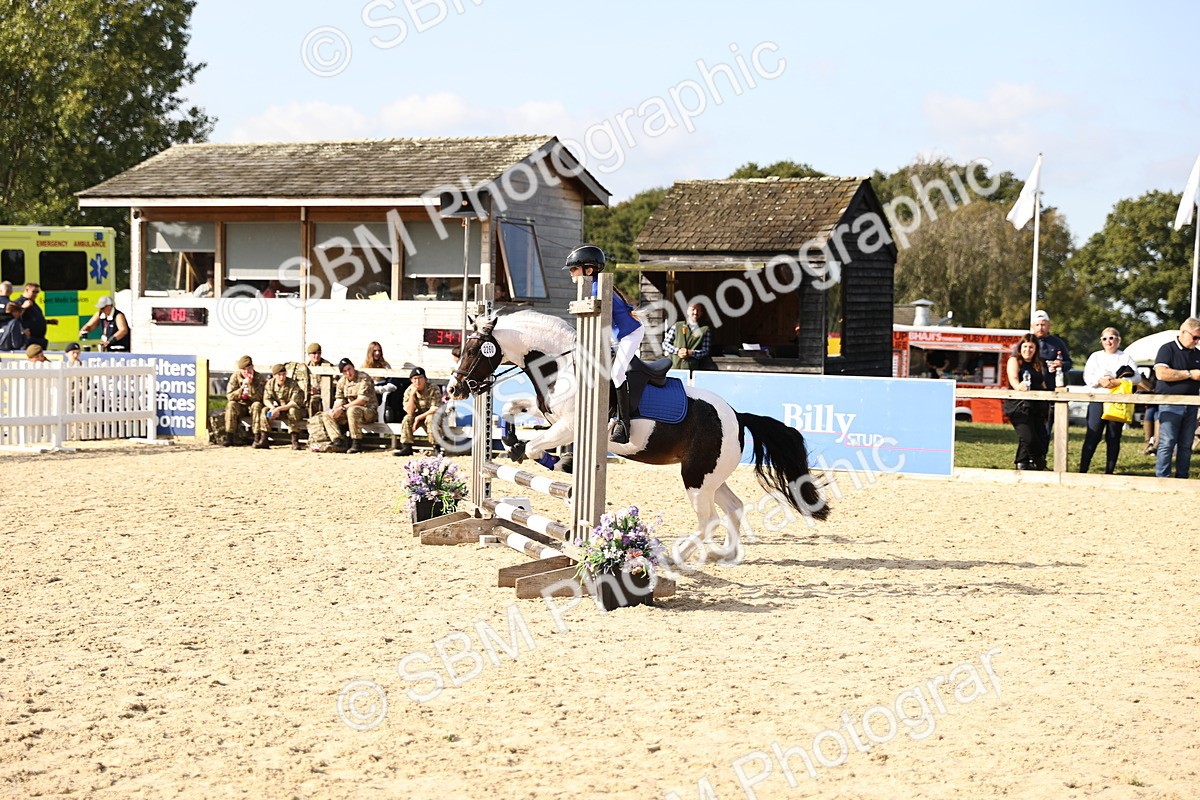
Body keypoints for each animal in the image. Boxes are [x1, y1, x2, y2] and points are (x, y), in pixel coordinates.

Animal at [448, 309, 829, 563]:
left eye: (474, 350)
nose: (454, 388)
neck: (560, 364)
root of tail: (737, 416)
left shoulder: (569, 425)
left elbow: (535, 449)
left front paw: (559, 464)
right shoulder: (551, 415)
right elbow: (515, 409)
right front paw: (513, 442)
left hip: (695, 477)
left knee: (709, 520)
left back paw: (677, 554)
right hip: (710, 476)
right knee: (733, 508)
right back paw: (726, 555)